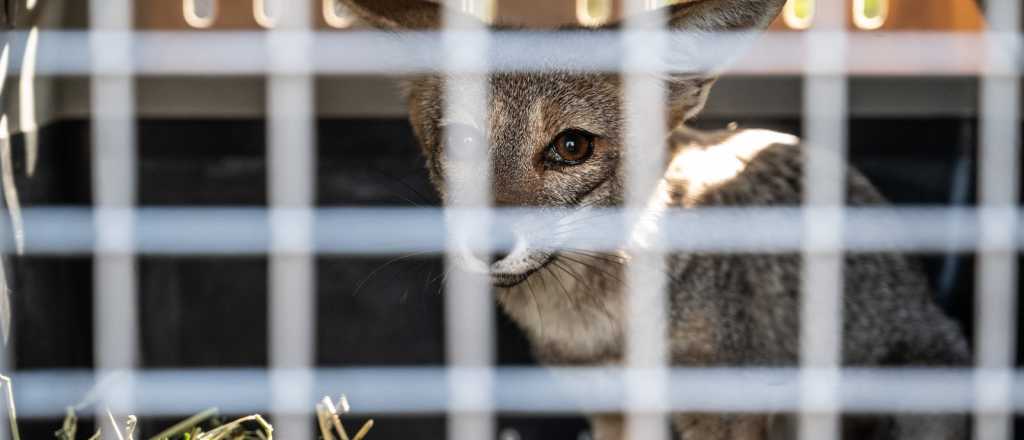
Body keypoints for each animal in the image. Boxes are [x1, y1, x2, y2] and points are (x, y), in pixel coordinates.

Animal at [338, 0, 970, 438]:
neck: (602, 329)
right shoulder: (611, 411)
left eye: (572, 147)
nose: (486, 245)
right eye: (461, 144)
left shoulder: (724, 415)